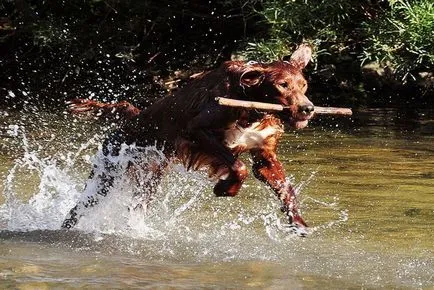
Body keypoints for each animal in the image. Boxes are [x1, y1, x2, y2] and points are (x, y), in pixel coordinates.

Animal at [62, 44, 316, 236]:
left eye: (303, 85)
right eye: (282, 84)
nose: (308, 109)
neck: (251, 106)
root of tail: (132, 117)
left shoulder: (264, 153)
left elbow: (285, 188)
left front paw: (298, 223)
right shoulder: (196, 131)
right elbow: (238, 166)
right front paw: (225, 188)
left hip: (149, 175)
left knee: (138, 204)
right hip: (110, 170)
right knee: (81, 206)